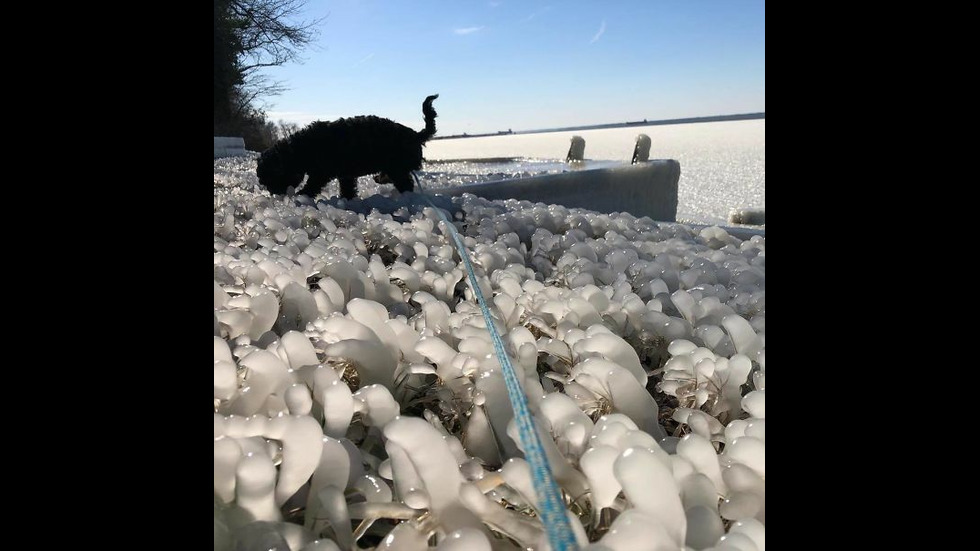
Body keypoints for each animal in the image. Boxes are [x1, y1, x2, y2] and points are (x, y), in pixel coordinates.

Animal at [256, 95, 440, 201]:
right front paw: (347, 198)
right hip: (395, 166)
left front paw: (302, 195)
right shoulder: (345, 174)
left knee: (405, 182)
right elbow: (347, 187)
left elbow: (312, 185)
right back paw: (381, 178)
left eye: (271, 179)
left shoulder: (321, 172)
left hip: (397, 166)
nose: (274, 194)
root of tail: (416, 134)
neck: (300, 149)